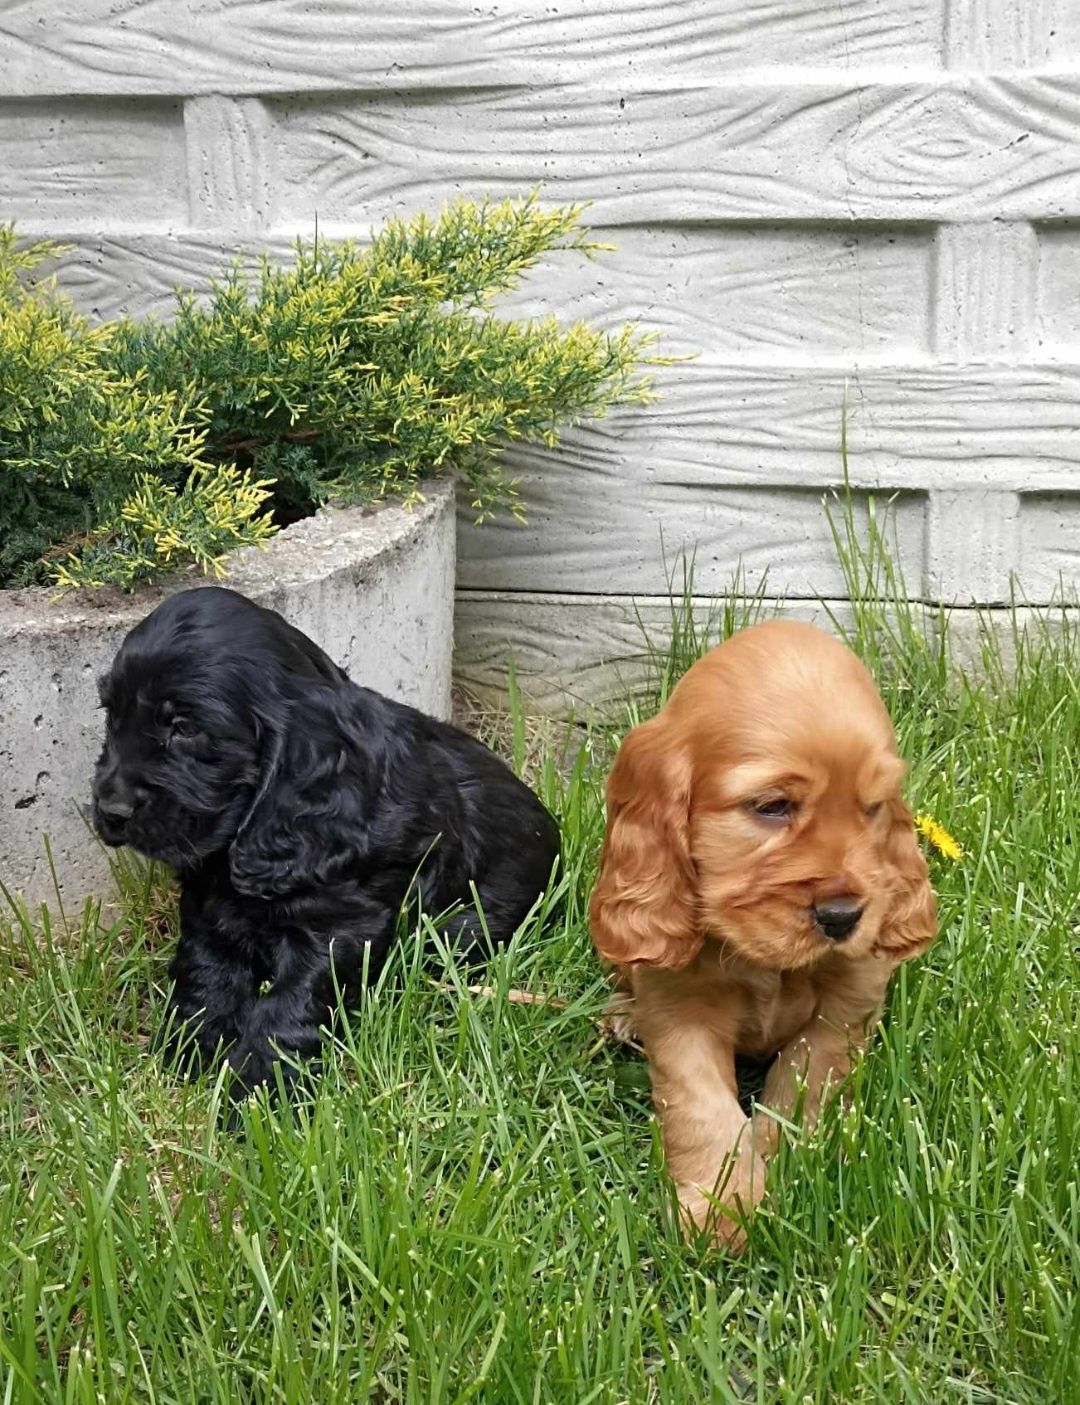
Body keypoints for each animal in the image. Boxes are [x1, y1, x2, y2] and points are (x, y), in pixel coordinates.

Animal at [91, 581, 561, 1095]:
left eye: (185, 727)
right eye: (111, 715)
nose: (110, 810)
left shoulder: (344, 925)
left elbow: (291, 1004)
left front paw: (259, 1086)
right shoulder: (208, 904)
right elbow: (206, 971)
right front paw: (188, 1051)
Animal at [584, 623, 932, 1253]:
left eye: (872, 808)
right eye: (773, 806)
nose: (844, 916)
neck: (761, 958)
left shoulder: (847, 1005)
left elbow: (803, 1084)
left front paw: (781, 1162)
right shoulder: (677, 1006)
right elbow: (701, 1105)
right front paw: (719, 1210)